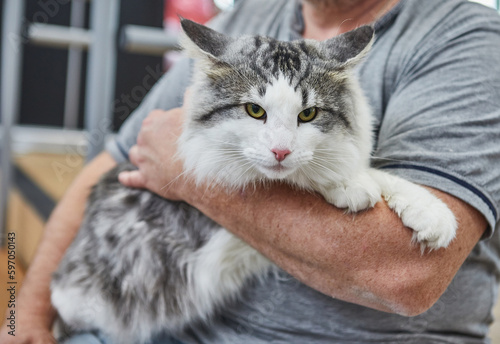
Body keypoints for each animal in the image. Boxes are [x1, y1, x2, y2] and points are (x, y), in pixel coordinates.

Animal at [50, 19, 458, 344]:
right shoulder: (211, 185)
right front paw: (347, 184)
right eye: (254, 110)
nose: (280, 151)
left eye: (308, 114)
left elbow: (372, 172)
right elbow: (310, 176)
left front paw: (430, 212)